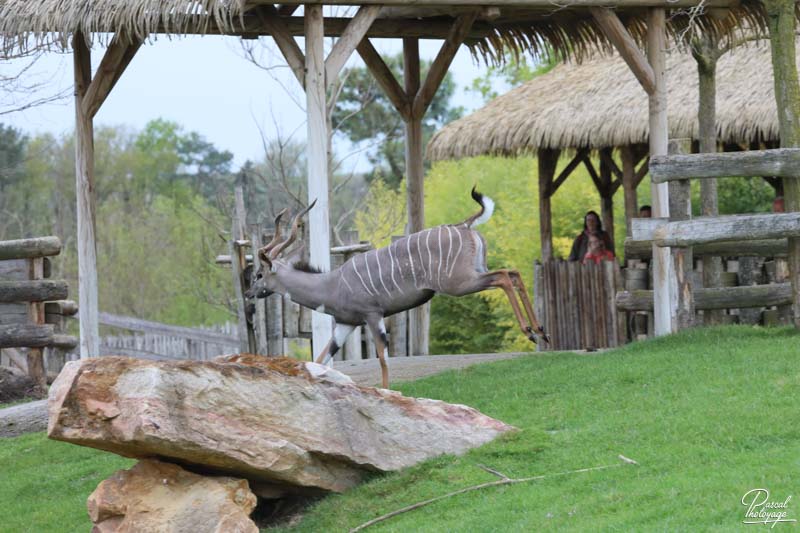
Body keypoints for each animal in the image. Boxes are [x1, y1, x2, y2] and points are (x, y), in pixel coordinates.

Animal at [244, 189, 548, 388]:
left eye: (258, 274)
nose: (247, 294)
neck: (332, 284)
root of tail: (463, 225)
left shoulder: (373, 316)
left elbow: (382, 357)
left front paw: (388, 392)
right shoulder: (346, 325)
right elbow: (320, 358)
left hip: (461, 283)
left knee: (504, 277)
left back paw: (530, 332)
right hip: (476, 273)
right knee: (514, 272)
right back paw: (541, 331)